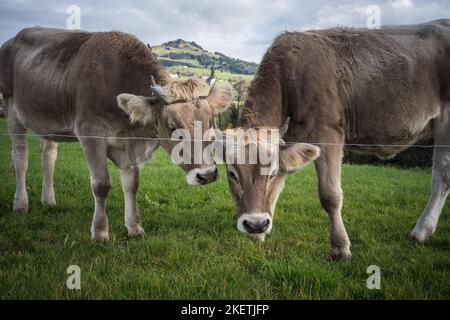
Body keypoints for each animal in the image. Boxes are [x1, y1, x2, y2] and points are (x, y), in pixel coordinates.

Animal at [0, 27, 232, 241]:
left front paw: (134, 227)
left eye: (210, 122)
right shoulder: (90, 131)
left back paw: (48, 201)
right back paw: (20, 204)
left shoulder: (129, 144)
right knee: (20, 158)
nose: (207, 175)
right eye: (173, 128)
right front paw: (100, 231)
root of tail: (13, 39)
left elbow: (132, 184)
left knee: (48, 156)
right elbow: (101, 184)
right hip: (11, 106)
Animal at [221, 19, 450, 260]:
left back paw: (421, 231)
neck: (289, 73)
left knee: (442, 177)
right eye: (232, 174)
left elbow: (330, 196)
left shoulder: (328, 133)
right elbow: (276, 190)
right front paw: (262, 233)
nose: (254, 224)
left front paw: (341, 247)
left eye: (271, 172)